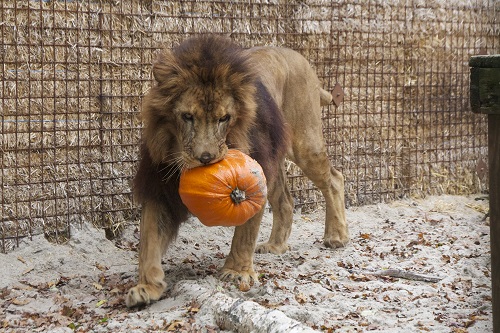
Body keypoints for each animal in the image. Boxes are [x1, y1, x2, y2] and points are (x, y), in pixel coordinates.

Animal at [127, 35, 350, 306]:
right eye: (187, 116)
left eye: (224, 118)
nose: (205, 158)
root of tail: (301, 59)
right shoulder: (159, 186)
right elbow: (149, 239)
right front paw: (146, 287)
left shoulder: (254, 176)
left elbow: (245, 233)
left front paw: (236, 272)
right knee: (286, 201)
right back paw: (275, 246)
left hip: (305, 144)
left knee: (335, 179)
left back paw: (336, 237)